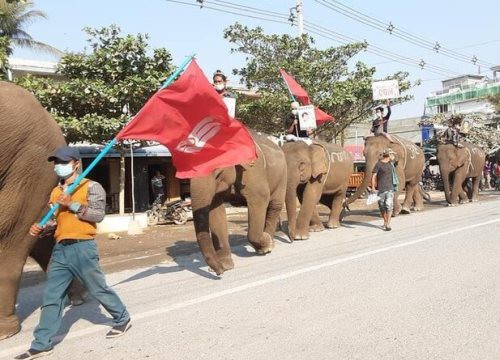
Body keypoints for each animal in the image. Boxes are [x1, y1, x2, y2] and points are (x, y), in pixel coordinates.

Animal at [189, 131, 288, 274]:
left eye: (217, 172)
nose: (218, 272)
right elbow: (216, 212)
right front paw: (226, 265)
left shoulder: (253, 172)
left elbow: (260, 200)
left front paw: (265, 245)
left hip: (283, 176)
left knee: (274, 206)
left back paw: (269, 244)